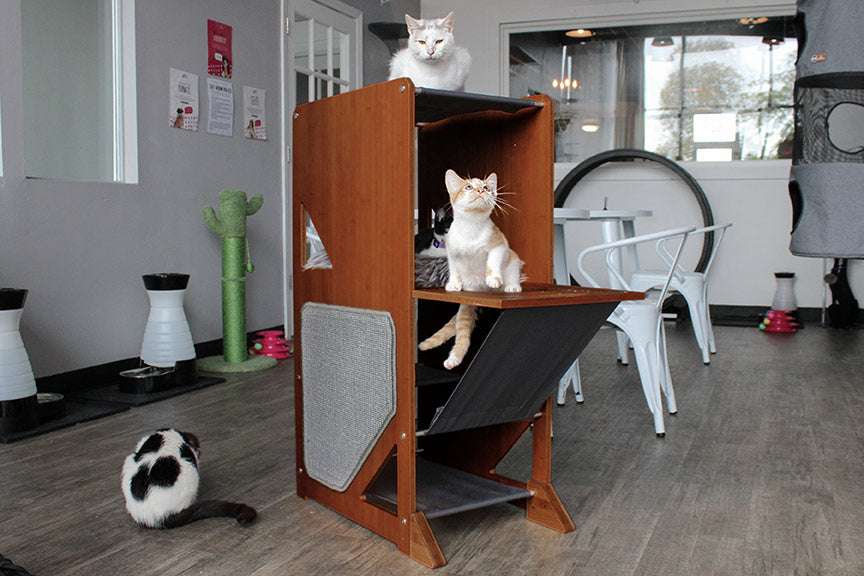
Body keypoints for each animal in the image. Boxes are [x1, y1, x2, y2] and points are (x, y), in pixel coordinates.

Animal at [416, 170, 524, 368]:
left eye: (487, 187)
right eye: (468, 186)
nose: (482, 190)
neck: (471, 228)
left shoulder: (499, 244)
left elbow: (493, 261)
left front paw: (493, 278)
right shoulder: (452, 251)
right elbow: (454, 268)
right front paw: (453, 284)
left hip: (513, 261)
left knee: (512, 272)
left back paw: (511, 286)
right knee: (463, 337)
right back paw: (452, 360)